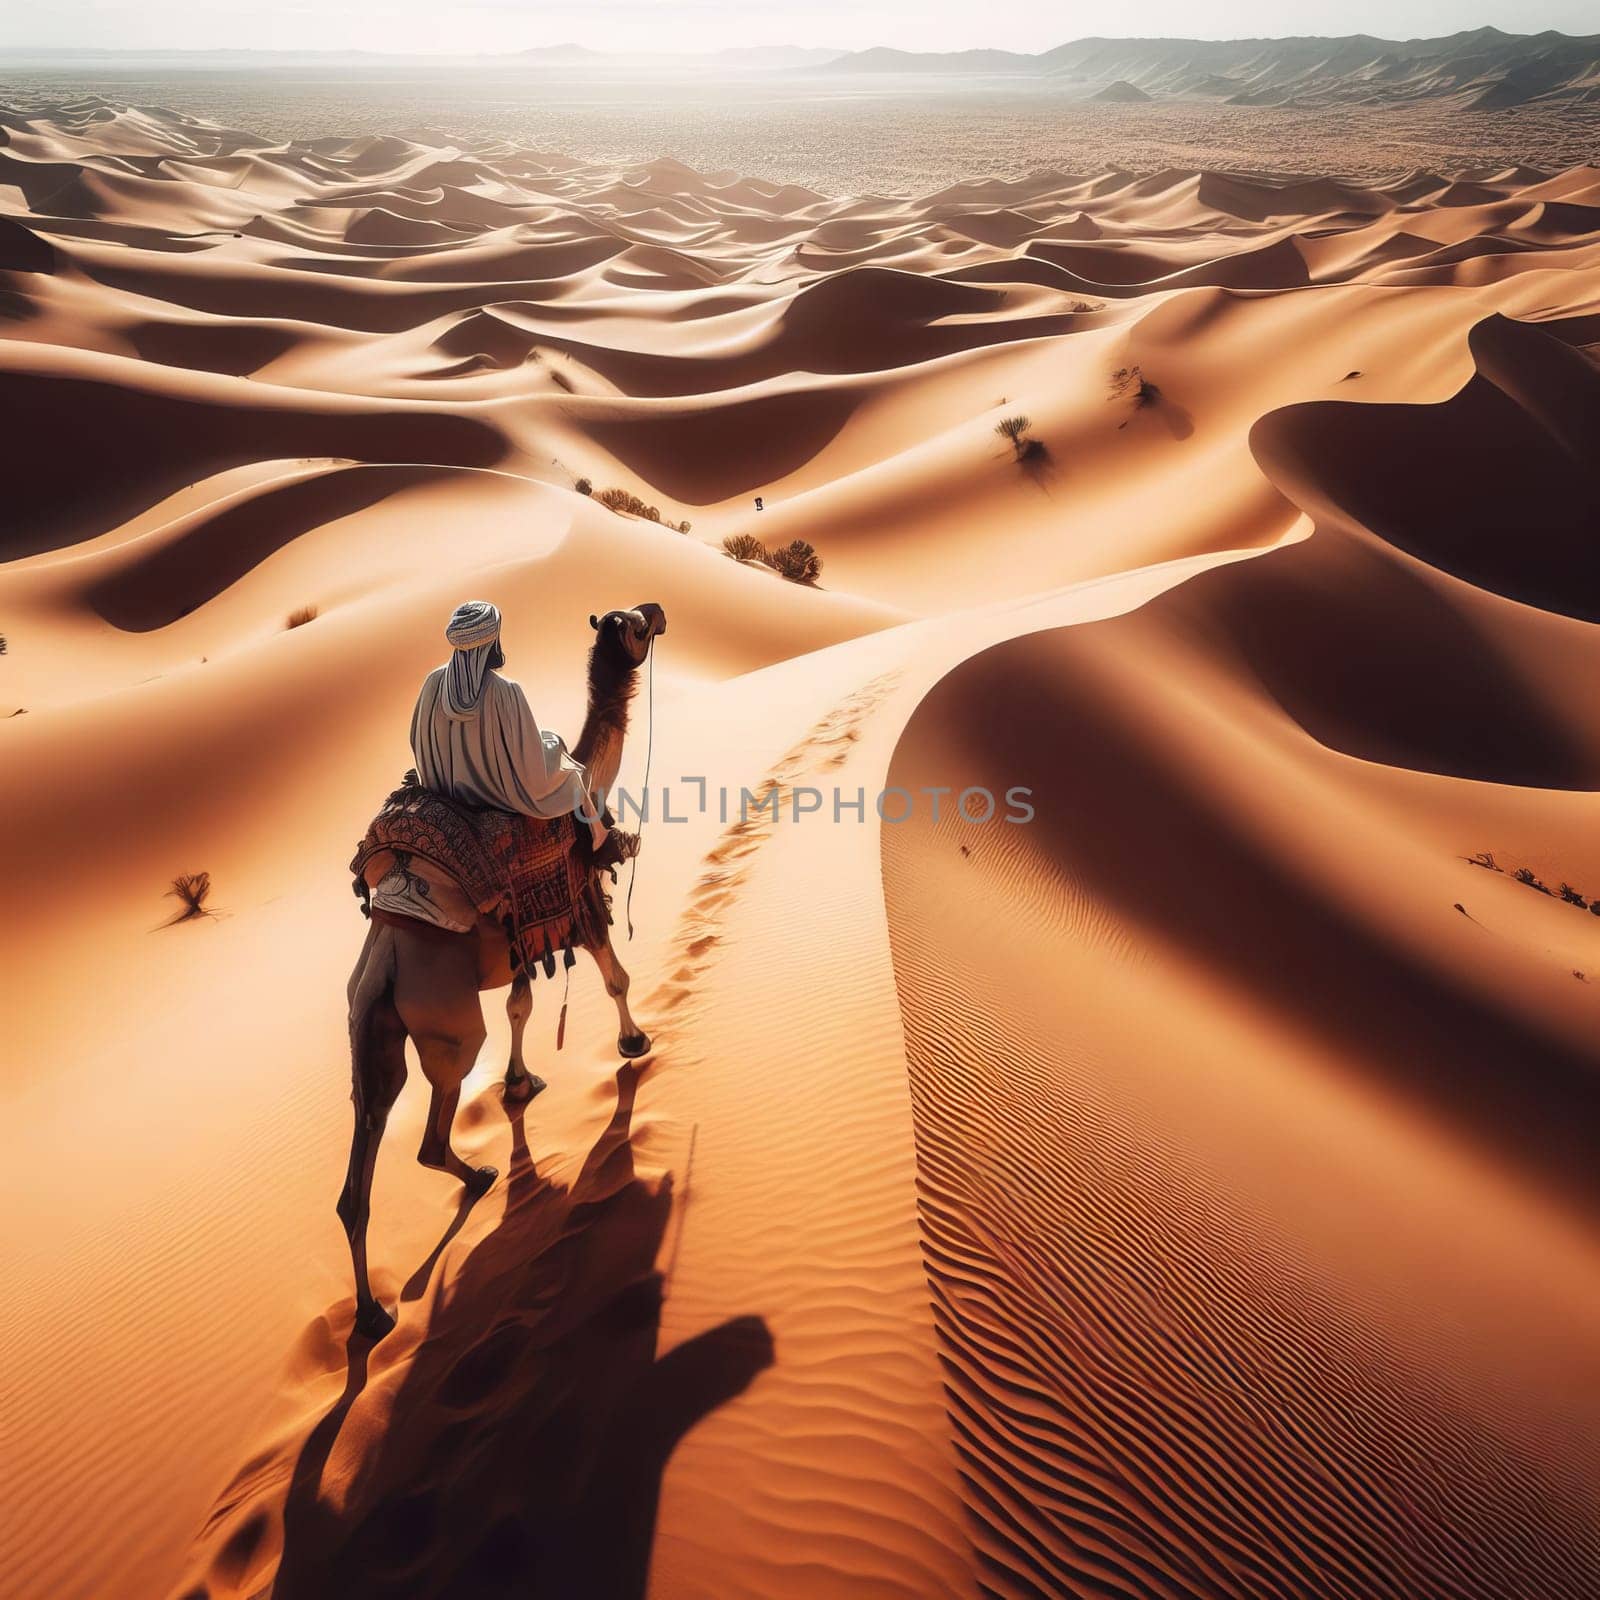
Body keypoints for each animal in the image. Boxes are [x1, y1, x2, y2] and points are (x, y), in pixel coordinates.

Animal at [340, 601, 665, 1337]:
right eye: (631, 624)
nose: (659, 613)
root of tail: (388, 958)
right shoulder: (581, 903)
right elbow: (614, 976)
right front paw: (635, 1042)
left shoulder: (525, 934)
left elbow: (521, 1005)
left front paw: (520, 1082)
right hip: (448, 1027)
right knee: (433, 1124)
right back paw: (479, 1181)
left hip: (370, 1027)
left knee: (359, 1168)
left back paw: (373, 1314)